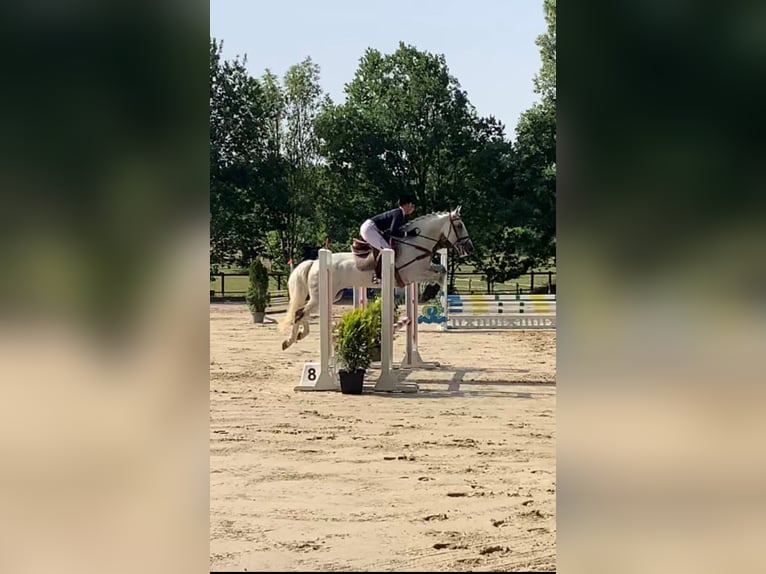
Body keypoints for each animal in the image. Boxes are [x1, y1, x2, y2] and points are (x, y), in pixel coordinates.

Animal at [278, 207, 474, 350]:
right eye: (460, 226)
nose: (469, 248)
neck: (416, 243)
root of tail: (314, 262)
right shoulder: (415, 272)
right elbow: (439, 273)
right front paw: (430, 293)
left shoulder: (421, 270)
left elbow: (442, 270)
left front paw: (435, 294)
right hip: (320, 295)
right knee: (299, 312)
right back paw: (290, 340)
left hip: (333, 295)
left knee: (303, 312)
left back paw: (299, 335)